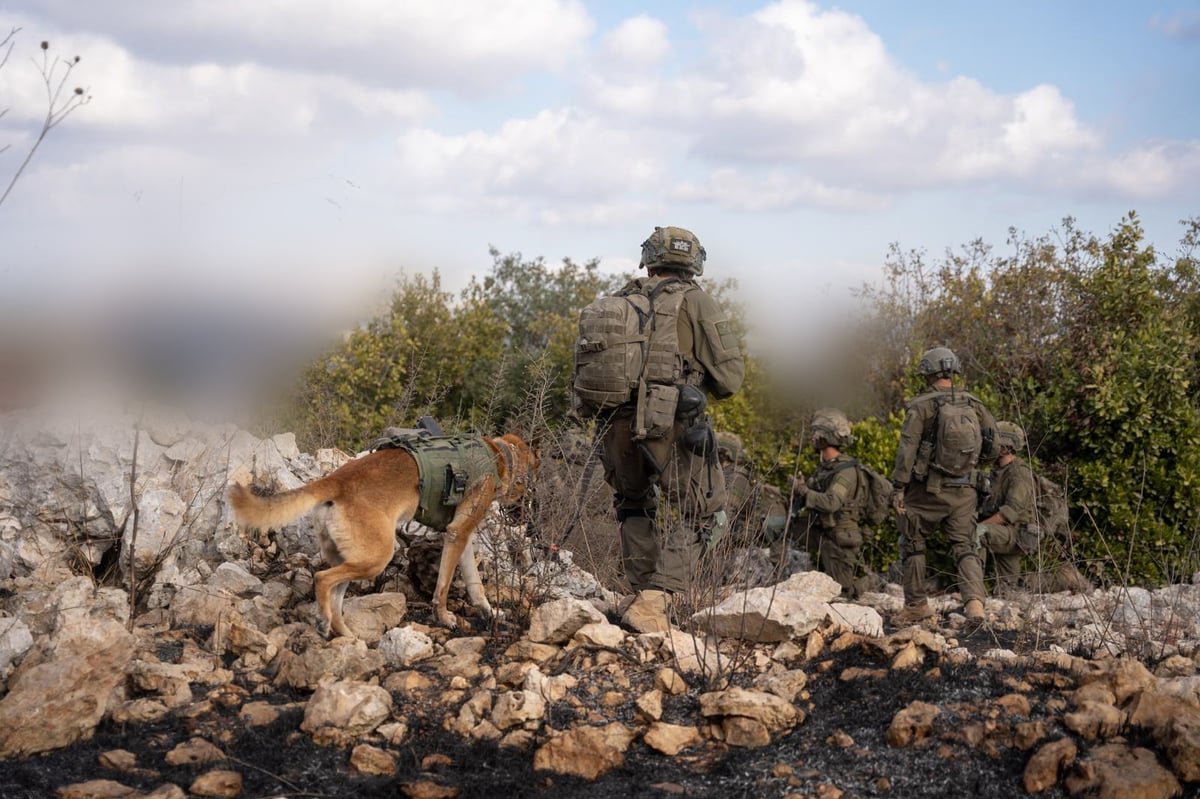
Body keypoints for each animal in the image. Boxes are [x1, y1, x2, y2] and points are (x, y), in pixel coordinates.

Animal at [228, 431, 535, 638]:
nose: (525, 513)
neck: (498, 455)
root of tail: (336, 481)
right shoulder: (457, 534)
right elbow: (443, 587)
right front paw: (444, 617)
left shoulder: (463, 538)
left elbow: (475, 584)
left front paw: (489, 611)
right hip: (377, 557)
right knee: (322, 579)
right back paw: (325, 623)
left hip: (353, 559)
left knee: (335, 596)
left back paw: (348, 637)